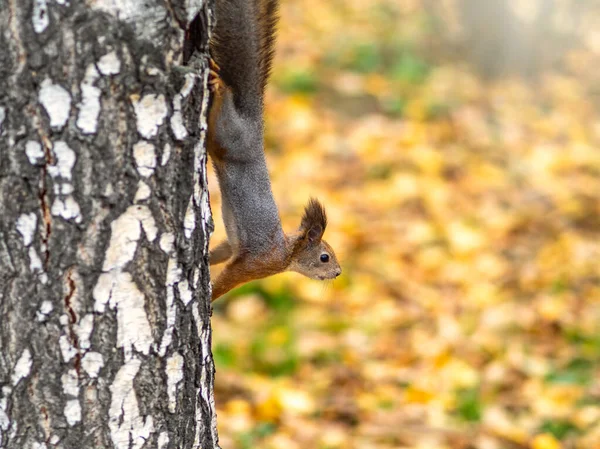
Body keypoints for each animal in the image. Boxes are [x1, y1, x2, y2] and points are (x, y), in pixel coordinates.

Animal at [204, 0, 340, 300]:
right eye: (324, 257)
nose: (338, 272)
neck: (287, 255)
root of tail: (254, 122)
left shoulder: (233, 247)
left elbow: (222, 251)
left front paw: (206, 257)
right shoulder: (258, 263)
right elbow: (227, 279)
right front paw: (209, 298)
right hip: (230, 135)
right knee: (223, 108)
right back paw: (218, 82)